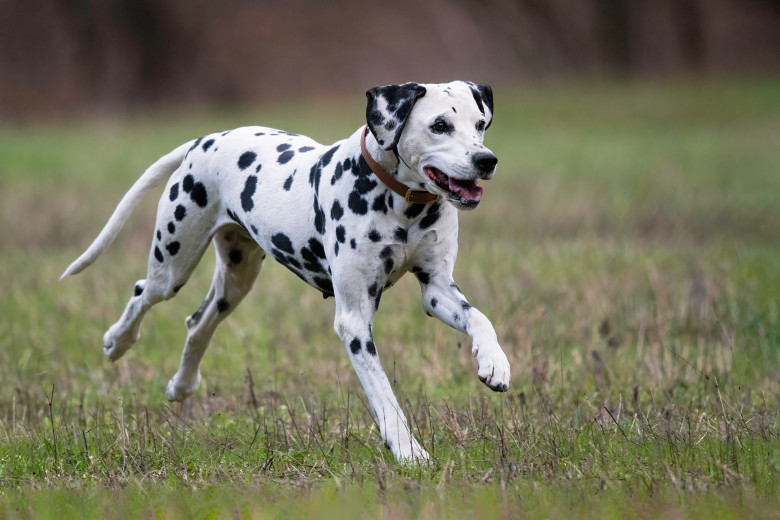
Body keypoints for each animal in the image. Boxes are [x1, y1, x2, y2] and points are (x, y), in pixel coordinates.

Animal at [62, 81, 512, 464]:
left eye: (480, 124)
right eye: (440, 125)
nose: (486, 160)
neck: (403, 205)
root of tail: (205, 140)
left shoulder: (437, 289)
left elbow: (480, 318)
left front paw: (495, 363)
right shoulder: (355, 321)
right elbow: (385, 395)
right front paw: (408, 452)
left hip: (237, 280)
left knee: (198, 322)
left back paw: (182, 385)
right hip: (172, 264)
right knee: (143, 292)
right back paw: (118, 341)